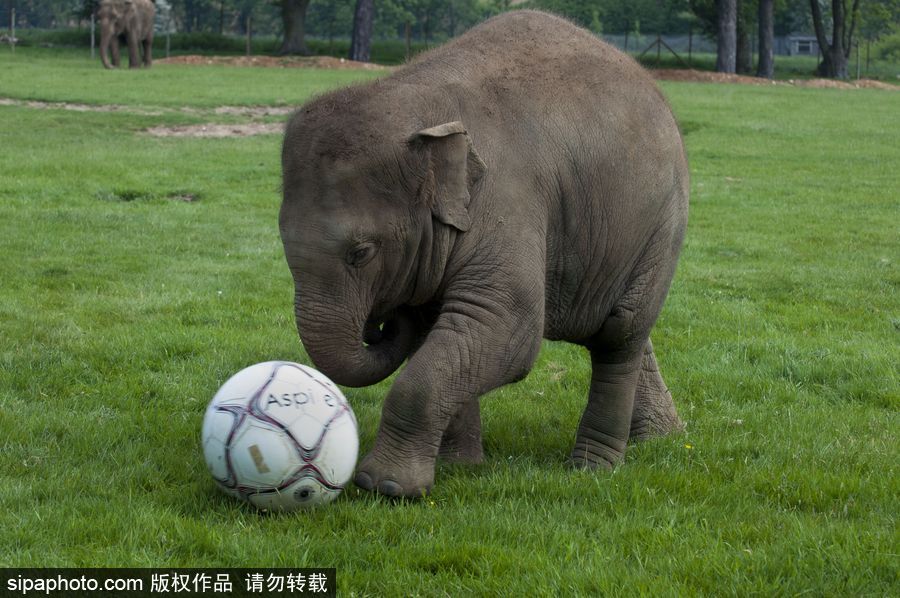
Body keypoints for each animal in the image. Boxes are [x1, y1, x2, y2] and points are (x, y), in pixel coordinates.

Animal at [282, 9, 688, 500]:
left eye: (361, 252)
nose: (380, 324)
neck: (416, 103)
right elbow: (439, 332)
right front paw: (459, 465)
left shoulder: (507, 202)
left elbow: (506, 330)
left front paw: (386, 486)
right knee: (627, 329)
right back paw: (661, 438)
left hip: (662, 224)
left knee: (619, 335)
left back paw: (593, 468)